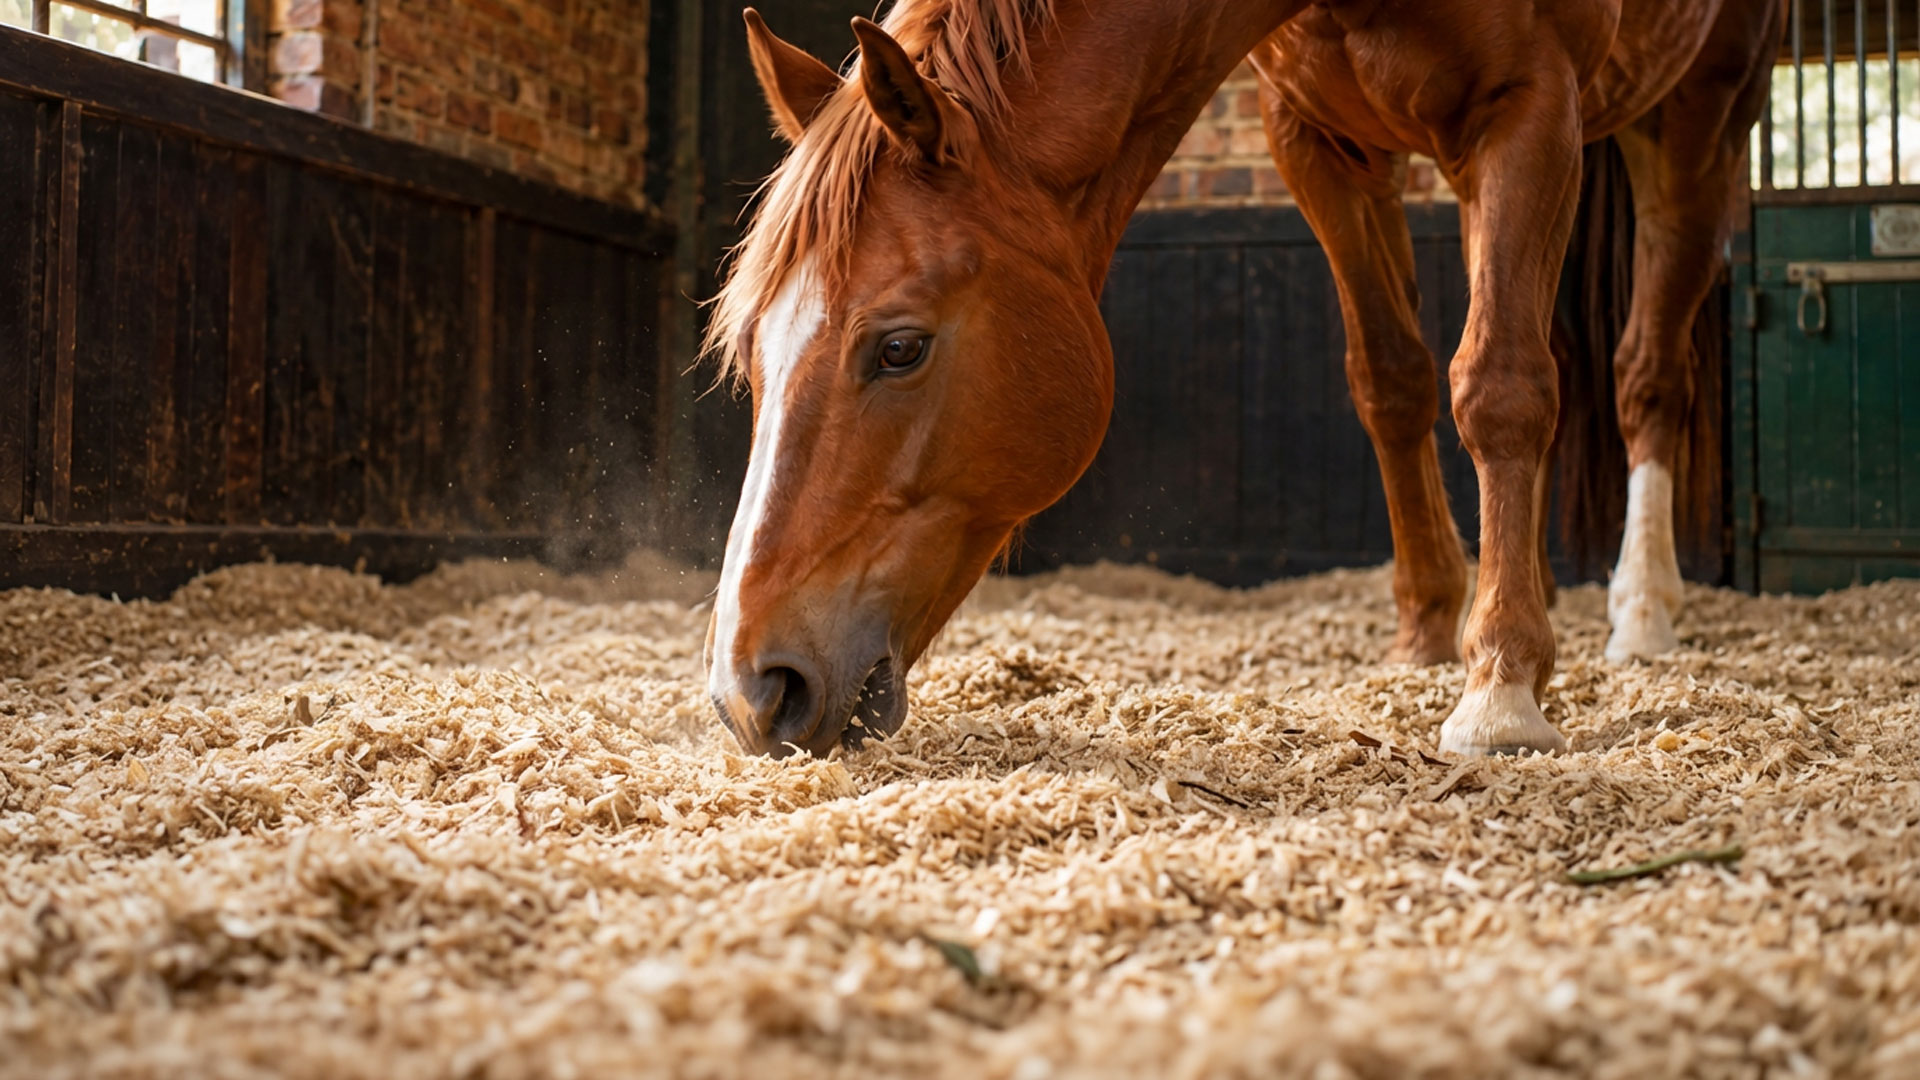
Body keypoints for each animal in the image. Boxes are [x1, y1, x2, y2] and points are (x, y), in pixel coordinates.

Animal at [702, 0, 1786, 759]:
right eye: (750, 349)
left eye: (900, 347)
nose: (752, 689)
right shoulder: (1315, 140)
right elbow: (1391, 380)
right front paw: (1430, 630)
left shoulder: (1527, 107)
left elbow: (1503, 387)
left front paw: (1503, 687)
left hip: (1698, 123)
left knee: (1646, 372)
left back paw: (1643, 609)